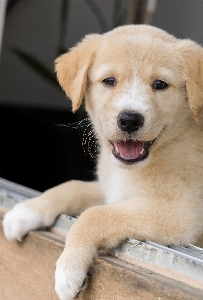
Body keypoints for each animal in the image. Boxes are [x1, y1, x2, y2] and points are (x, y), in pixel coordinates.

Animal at [2, 24, 203, 300]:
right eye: (109, 81)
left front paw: (68, 269)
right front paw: (26, 210)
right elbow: (72, 187)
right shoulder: (111, 191)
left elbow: (94, 215)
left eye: (160, 84)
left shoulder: (182, 214)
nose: (129, 119)